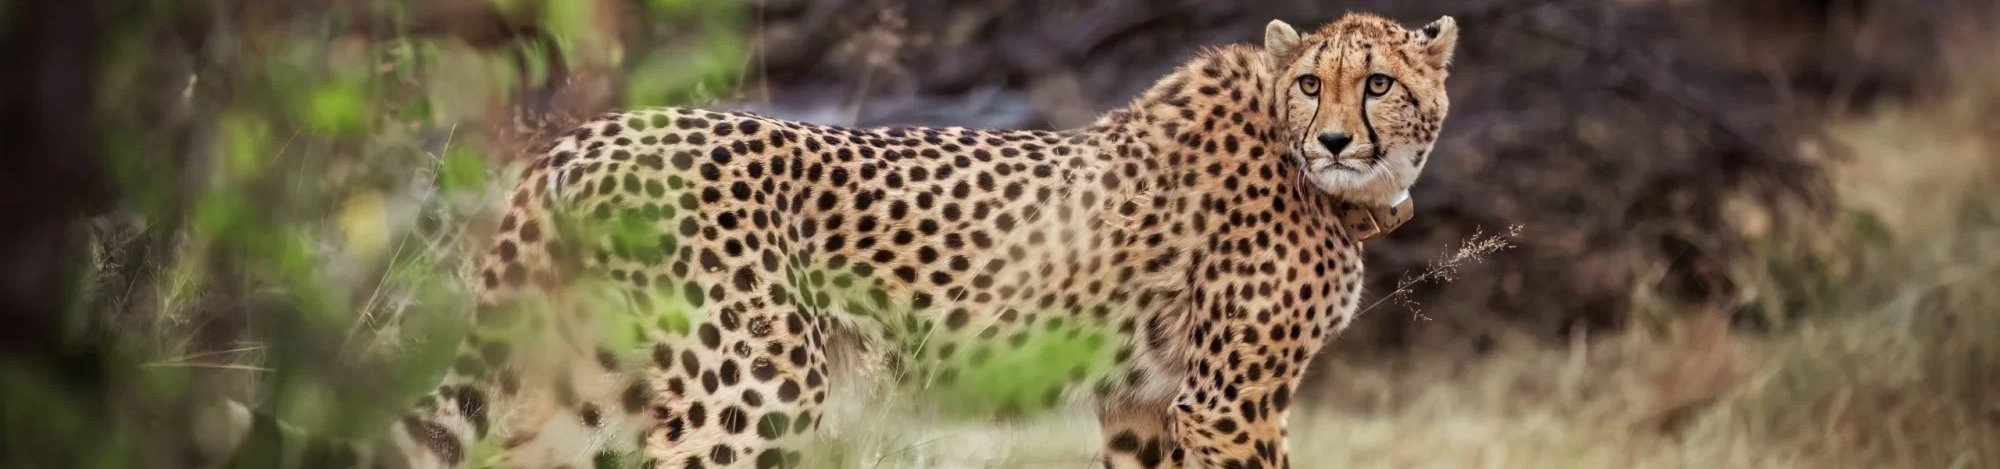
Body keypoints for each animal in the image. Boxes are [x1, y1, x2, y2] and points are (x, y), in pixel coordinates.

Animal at [383, 12, 1457, 469]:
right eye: (1313, 83)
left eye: (1378, 83)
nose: (1334, 139)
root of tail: (590, 136)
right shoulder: (1227, 403)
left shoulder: (1146, 400)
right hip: (753, 389)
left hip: (579, 389)